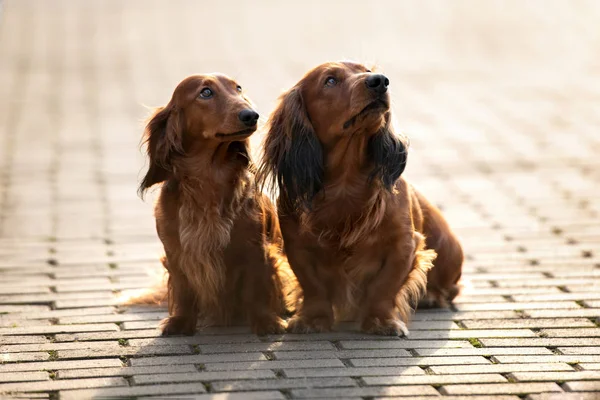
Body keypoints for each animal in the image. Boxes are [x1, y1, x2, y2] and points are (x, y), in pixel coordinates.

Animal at [138, 74, 292, 334]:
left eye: (238, 88)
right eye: (206, 92)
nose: (251, 115)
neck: (209, 178)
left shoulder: (257, 249)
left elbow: (258, 286)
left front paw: (267, 321)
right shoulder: (175, 252)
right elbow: (183, 289)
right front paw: (180, 321)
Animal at [258, 62, 464, 336]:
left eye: (366, 70)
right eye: (330, 81)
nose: (380, 81)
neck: (345, 182)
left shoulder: (403, 245)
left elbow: (384, 288)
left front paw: (381, 321)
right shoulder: (298, 247)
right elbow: (313, 287)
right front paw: (312, 319)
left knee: (450, 289)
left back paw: (430, 296)